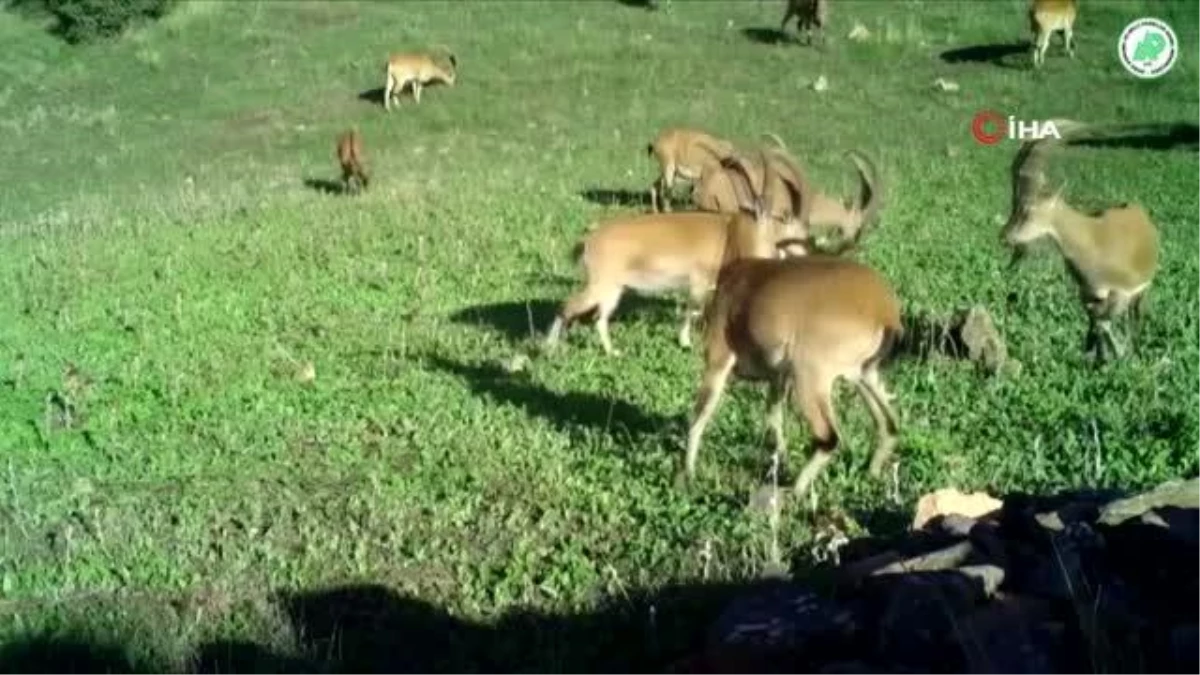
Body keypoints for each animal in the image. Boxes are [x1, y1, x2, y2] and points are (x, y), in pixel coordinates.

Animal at [547, 150, 811, 355]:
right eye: (784, 216)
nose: (805, 240)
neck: (733, 236)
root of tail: (588, 241)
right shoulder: (699, 282)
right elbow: (692, 310)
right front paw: (685, 343)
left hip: (613, 289)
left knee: (600, 319)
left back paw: (612, 352)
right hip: (600, 284)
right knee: (566, 306)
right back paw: (549, 348)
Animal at [686, 183, 902, 499]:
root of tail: (884, 310)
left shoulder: (718, 359)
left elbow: (701, 413)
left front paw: (687, 473)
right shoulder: (778, 378)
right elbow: (774, 422)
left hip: (812, 380)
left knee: (829, 437)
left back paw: (795, 491)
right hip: (863, 375)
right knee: (889, 424)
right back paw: (870, 472)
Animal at [1003, 123, 1161, 360]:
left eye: (1028, 210)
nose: (1005, 237)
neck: (1091, 242)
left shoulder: (1121, 293)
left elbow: (1103, 322)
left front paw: (1118, 355)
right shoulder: (1087, 295)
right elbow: (1095, 323)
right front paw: (1095, 356)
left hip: (1143, 289)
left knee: (1134, 318)